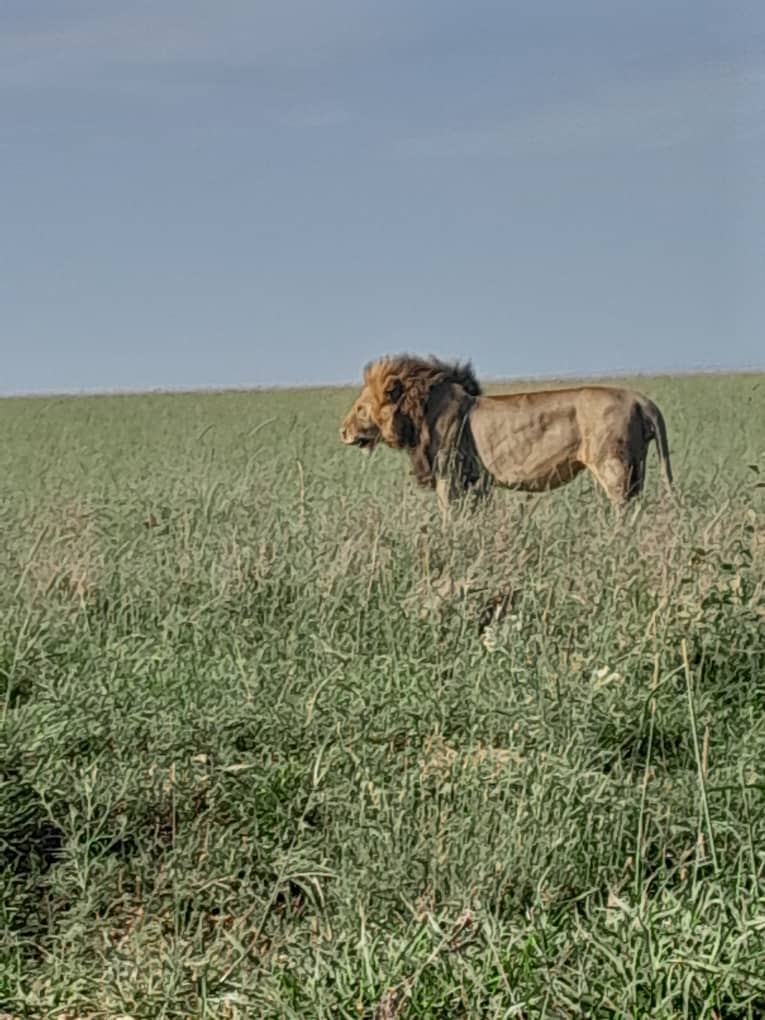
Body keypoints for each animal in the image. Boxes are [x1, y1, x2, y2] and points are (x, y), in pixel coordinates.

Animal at [339, 355, 673, 512]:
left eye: (360, 409)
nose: (341, 431)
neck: (419, 411)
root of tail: (641, 400)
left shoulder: (450, 476)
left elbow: (448, 516)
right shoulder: (476, 482)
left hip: (613, 467)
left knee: (623, 507)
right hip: (637, 467)